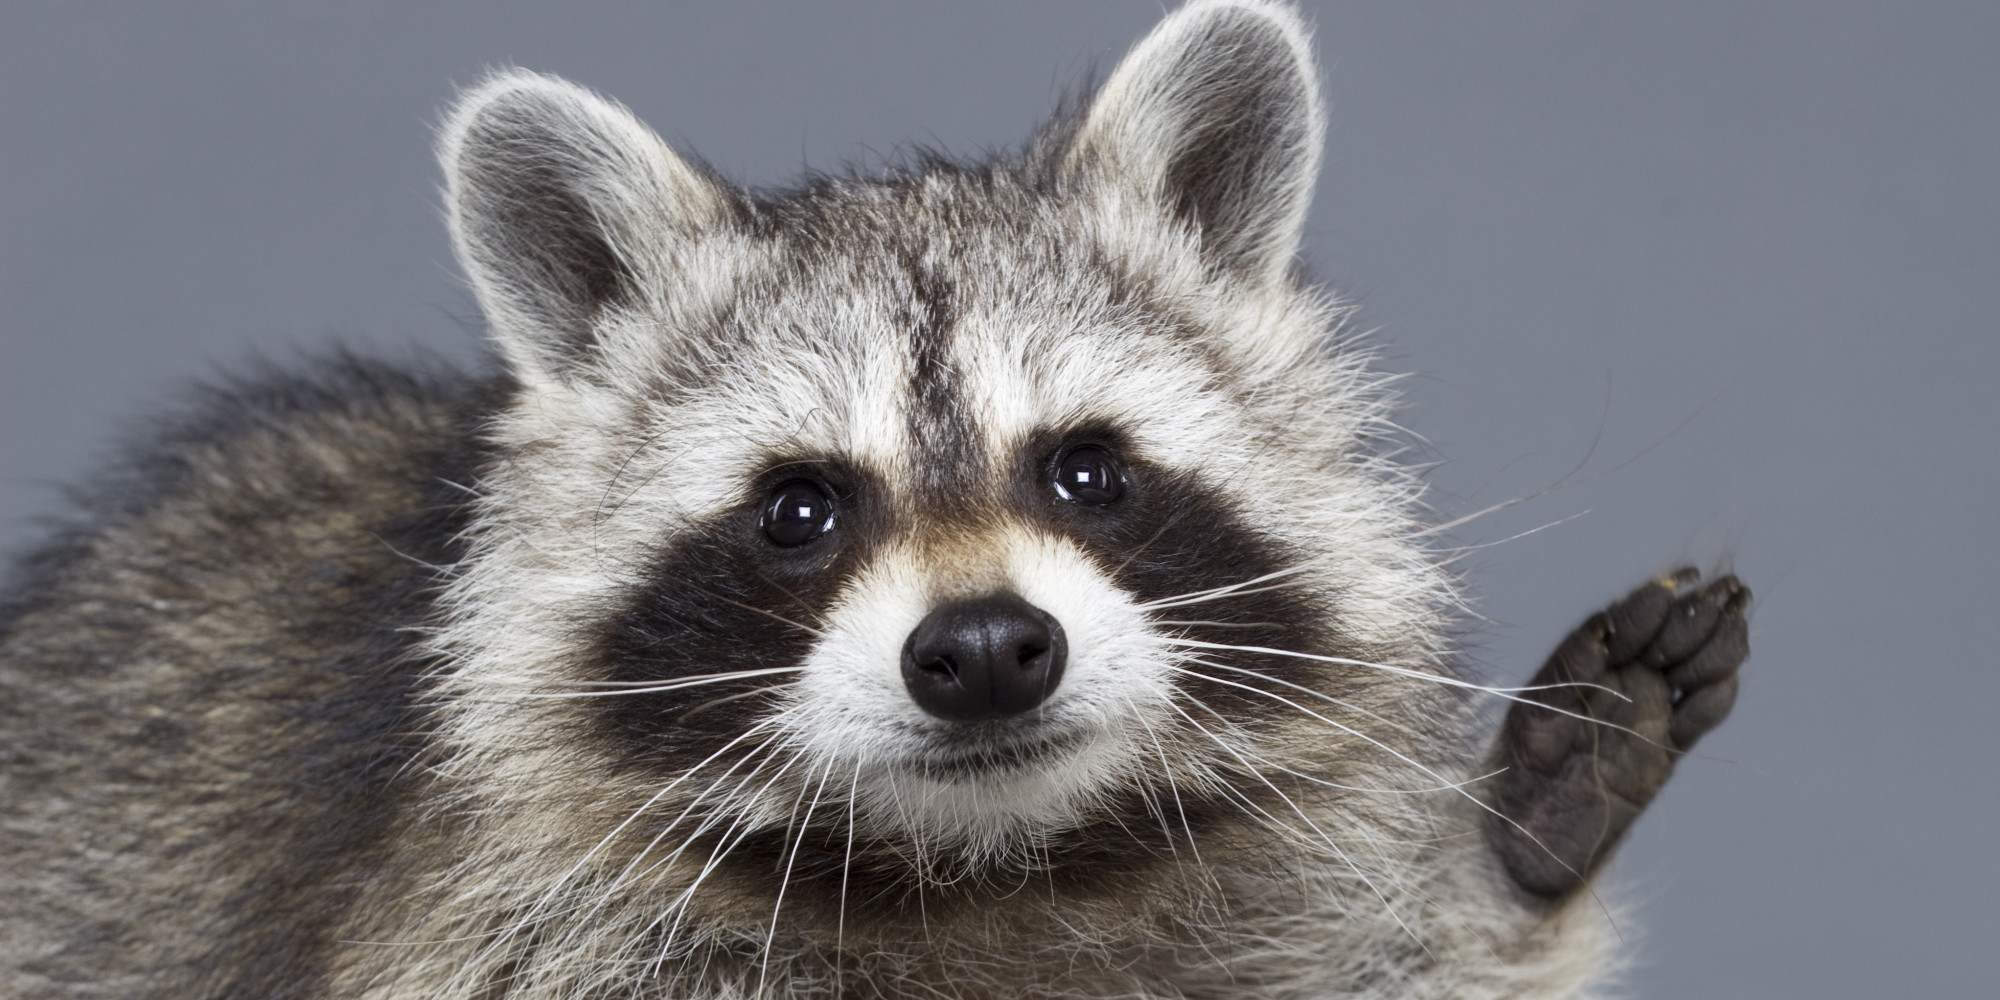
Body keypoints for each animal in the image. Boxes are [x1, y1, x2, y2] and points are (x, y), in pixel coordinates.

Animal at [0, 2, 1748, 998]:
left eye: (1088, 469)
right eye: (798, 511)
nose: (982, 651)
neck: (989, 867)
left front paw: (1517, 848)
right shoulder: (480, 913)